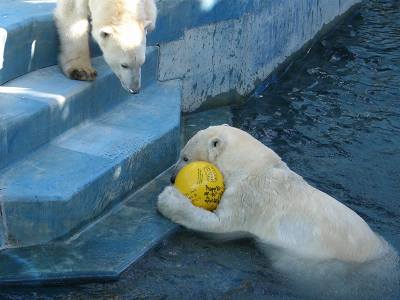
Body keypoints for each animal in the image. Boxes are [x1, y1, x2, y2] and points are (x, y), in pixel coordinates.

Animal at [159, 124, 390, 262]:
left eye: (185, 157)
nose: (172, 178)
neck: (255, 166)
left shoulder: (251, 197)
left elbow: (220, 225)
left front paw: (167, 198)